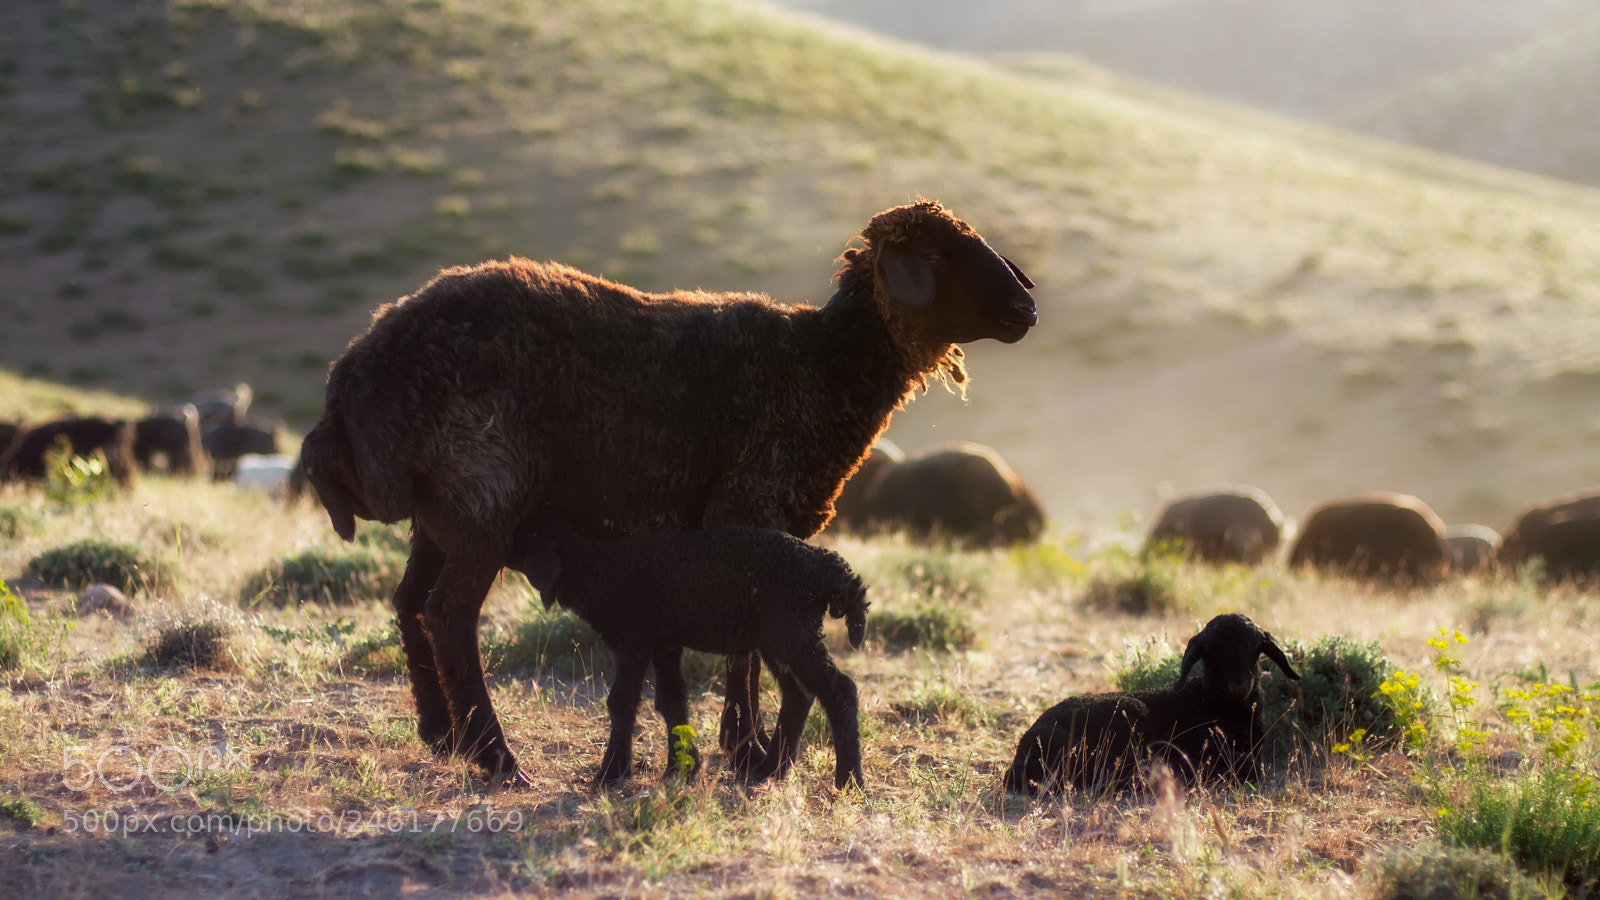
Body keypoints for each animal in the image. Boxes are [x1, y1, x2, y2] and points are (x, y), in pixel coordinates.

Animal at [507, 506, 869, 789]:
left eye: (526, 533)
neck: (601, 570)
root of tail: (828, 566)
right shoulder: (662, 645)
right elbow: (671, 702)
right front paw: (681, 768)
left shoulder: (634, 637)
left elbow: (621, 701)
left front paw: (611, 773)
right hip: (781, 637)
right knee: (799, 694)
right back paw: (771, 770)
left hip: (792, 631)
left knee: (840, 690)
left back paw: (849, 781)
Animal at [1004, 614, 1300, 795]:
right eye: (1212, 651)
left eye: (1255, 648)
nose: (1238, 685)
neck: (1211, 702)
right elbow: (1248, 766)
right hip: (1129, 715)